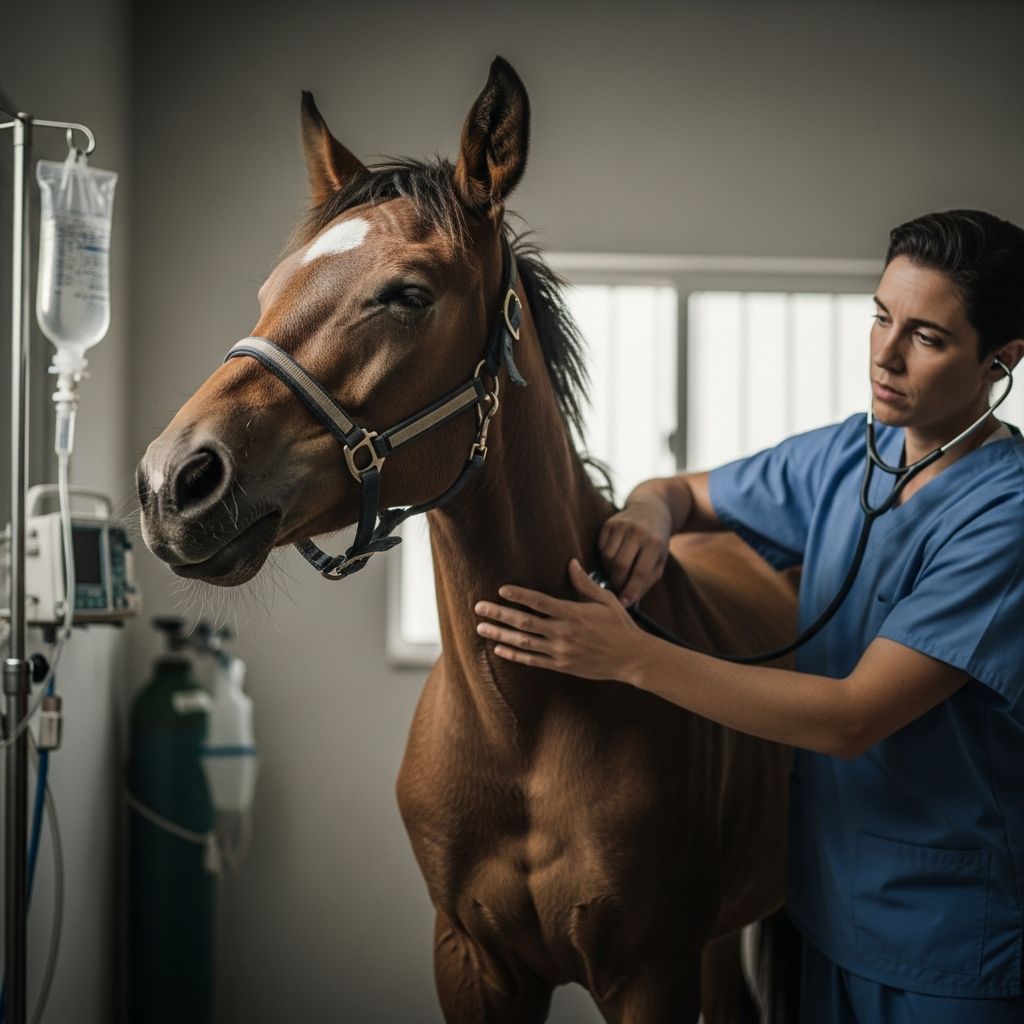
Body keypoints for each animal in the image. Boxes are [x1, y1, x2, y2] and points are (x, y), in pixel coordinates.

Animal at [137, 57, 799, 1023]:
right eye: (268, 292)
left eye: (408, 295)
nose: (172, 481)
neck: (523, 721)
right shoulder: (471, 960)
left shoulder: (653, 970)